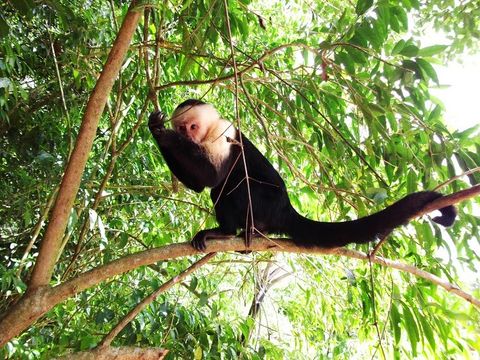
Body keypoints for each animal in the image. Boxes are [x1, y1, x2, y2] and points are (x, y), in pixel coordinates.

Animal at [148, 98, 456, 250]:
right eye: (183, 126)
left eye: (193, 127)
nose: (186, 135)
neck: (208, 132)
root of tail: (285, 208)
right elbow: (199, 184)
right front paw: (157, 132)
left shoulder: (223, 132)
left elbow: (212, 177)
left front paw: (164, 135)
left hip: (266, 203)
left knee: (231, 187)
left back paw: (227, 233)